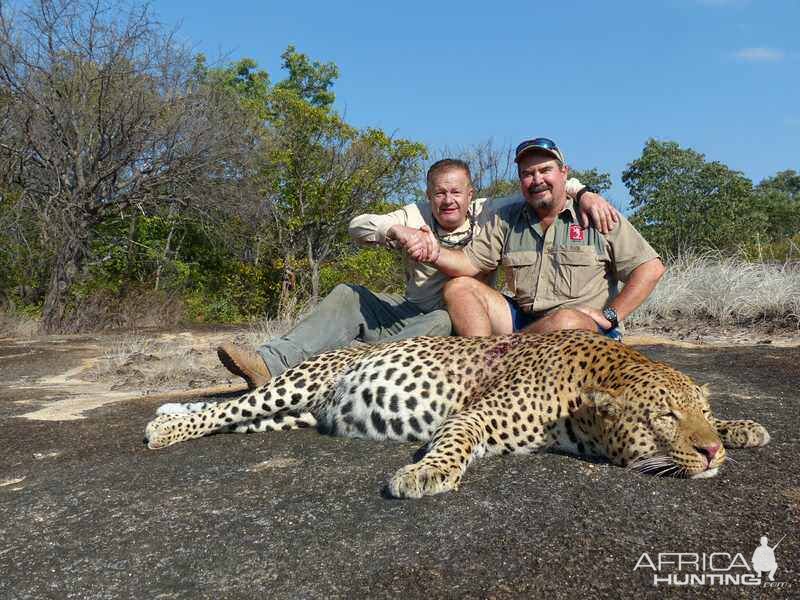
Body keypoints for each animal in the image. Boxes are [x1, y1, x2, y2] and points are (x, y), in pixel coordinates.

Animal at [144, 328, 768, 496]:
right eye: (663, 418)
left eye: (700, 411)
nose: (711, 453)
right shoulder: (475, 417)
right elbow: (453, 442)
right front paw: (424, 474)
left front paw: (743, 428)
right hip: (299, 385)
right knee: (234, 406)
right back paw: (165, 428)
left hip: (301, 414)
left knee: (239, 415)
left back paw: (169, 413)